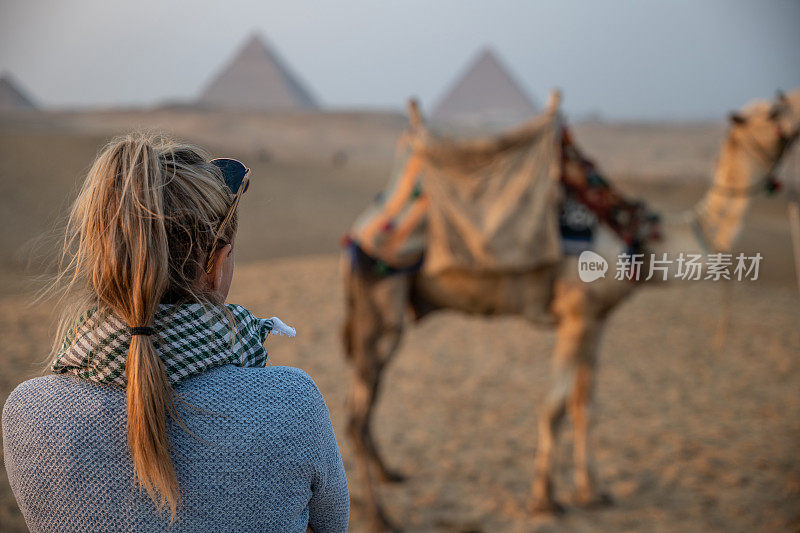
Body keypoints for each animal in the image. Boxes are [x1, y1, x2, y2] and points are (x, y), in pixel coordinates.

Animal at [340, 88, 800, 528]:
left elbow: (587, 406)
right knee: (357, 413)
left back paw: (386, 478)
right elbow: (556, 407)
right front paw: (544, 500)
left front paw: (592, 493)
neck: (639, 239)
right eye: (774, 111)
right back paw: (380, 516)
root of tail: (361, 227)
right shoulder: (576, 315)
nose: (795, 108)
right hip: (383, 297)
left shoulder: (597, 320)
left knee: (364, 401)